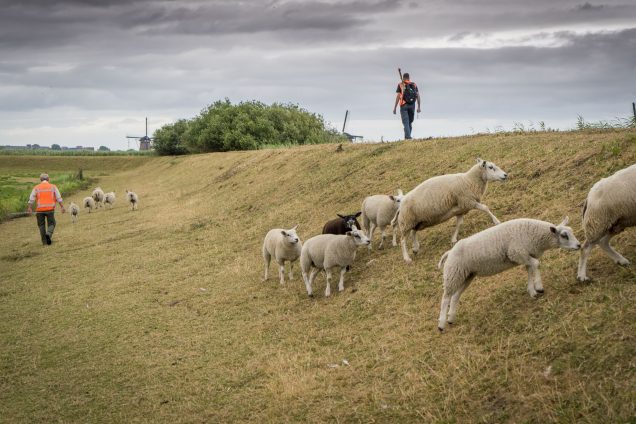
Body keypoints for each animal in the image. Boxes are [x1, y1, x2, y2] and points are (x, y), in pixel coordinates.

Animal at [438, 219, 580, 332]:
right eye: (564, 235)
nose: (578, 245)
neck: (534, 235)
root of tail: (449, 252)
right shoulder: (516, 253)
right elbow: (536, 264)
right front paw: (539, 287)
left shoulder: (524, 256)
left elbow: (530, 269)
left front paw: (532, 290)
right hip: (453, 273)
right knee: (445, 297)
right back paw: (441, 324)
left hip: (467, 275)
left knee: (455, 296)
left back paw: (451, 318)